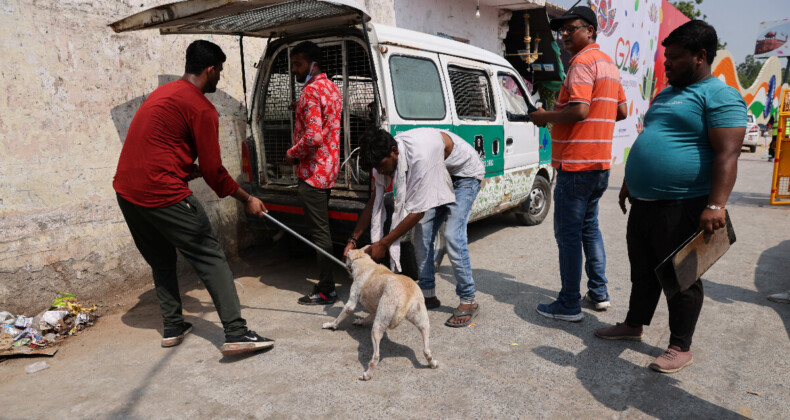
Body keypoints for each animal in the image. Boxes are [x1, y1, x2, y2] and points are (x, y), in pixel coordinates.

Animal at [324, 246, 442, 380]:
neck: (364, 261)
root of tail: (404, 296)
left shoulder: (352, 301)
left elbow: (341, 316)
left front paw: (330, 325)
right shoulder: (375, 310)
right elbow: (368, 317)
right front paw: (360, 321)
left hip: (378, 326)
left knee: (376, 356)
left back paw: (367, 374)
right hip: (422, 320)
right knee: (426, 349)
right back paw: (432, 363)